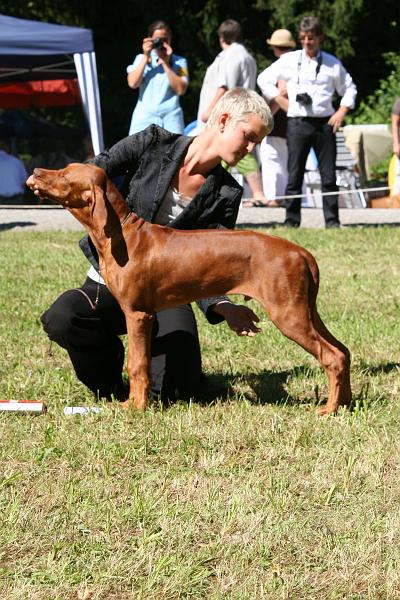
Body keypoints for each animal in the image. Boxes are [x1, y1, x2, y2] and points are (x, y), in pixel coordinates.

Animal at [27, 162, 350, 414]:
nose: (36, 172)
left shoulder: (138, 314)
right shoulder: (142, 315)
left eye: (65, 175)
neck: (125, 235)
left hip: (288, 315)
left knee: (332, 357)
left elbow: (137, 363)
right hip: (305, 311)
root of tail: (301, 252)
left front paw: (136, 407)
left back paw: (329, 410)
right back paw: (344, 403)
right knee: (343, 351)